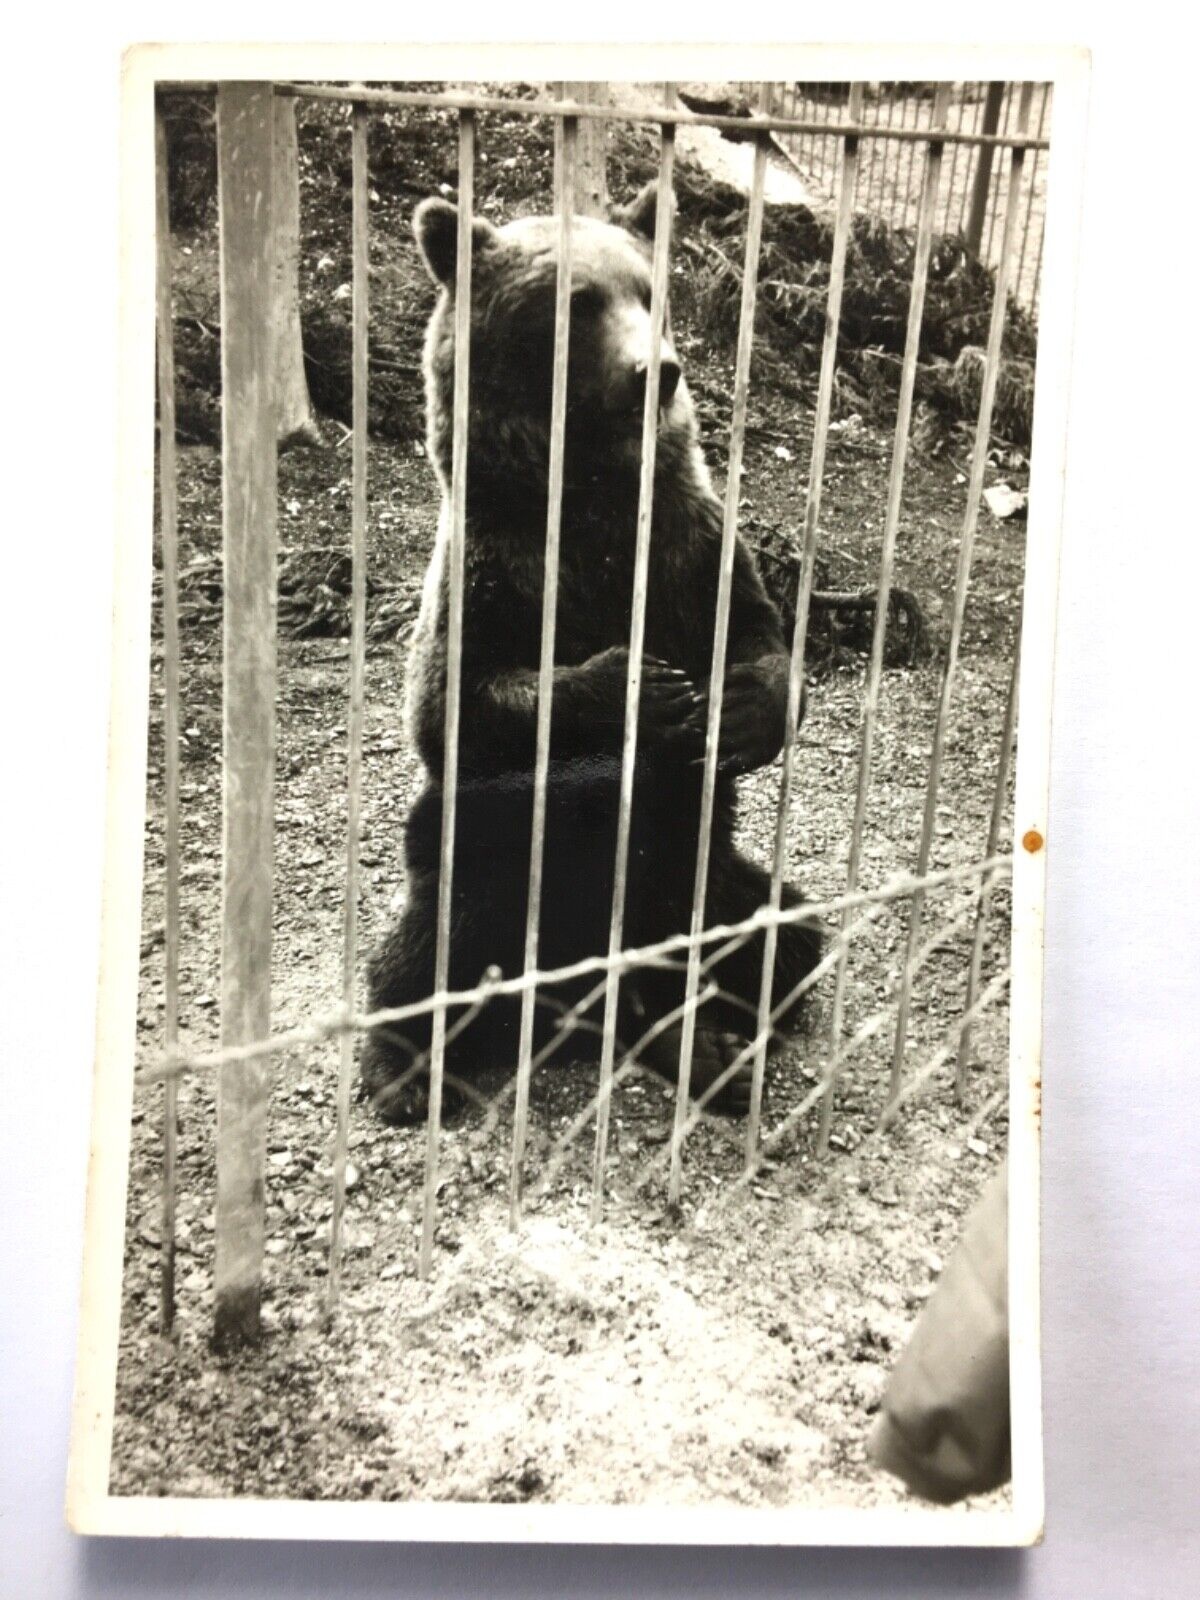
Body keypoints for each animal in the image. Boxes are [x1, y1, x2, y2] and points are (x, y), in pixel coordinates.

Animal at [360, 182, 822, 1125]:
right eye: (577, 302)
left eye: (650, 291)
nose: (659, 370)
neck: (591, 502)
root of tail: (569, 1007)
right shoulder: (495, 567)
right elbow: (460, 701)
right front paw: (643, 687)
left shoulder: (688, 543)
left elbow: (759, 634)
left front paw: (735, 708)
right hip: (475, 871)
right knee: (426, 947)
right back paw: (405, 1067)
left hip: (705, 884)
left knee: (782, 935)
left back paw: (707, 1043)